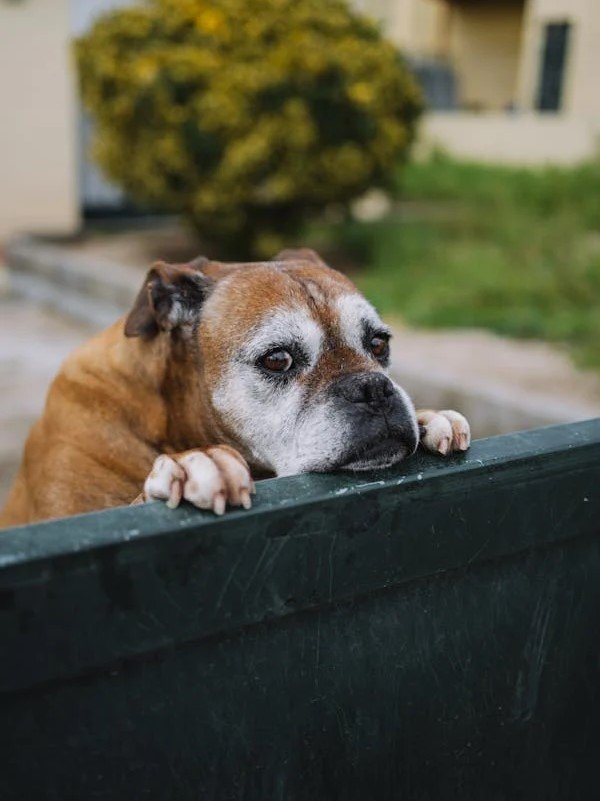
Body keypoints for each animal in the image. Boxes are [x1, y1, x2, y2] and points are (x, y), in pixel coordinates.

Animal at [0, 247, 468, 528]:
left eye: (378, 343)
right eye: (278, 359)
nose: (372, 388)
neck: (161, 415)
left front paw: (431, 419)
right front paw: (192, 465)